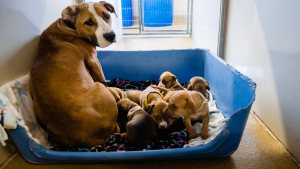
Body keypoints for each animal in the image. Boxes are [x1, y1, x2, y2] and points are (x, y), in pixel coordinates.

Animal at [29, 1, 119, 149]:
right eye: (88, 22)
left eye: (106, 15)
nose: (110, 36)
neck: (69, 26)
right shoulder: (93, 60)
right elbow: (102, 78)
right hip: (98, 87)